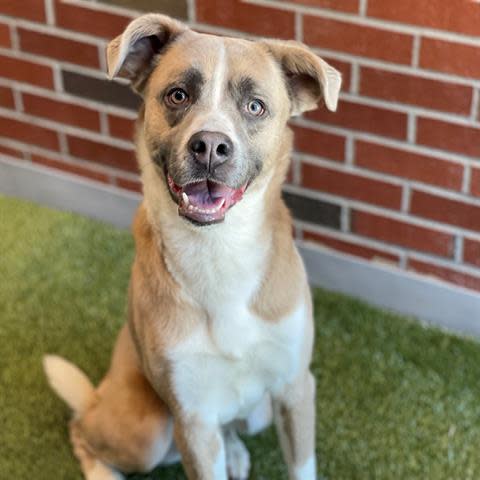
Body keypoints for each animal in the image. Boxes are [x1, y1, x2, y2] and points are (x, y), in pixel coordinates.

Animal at [43, 14, 340, 480]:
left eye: (255, 106)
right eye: (178, 95)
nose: (211, 147)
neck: (218, 249)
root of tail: (99, 394)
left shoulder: (296, 389)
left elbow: (301, 466)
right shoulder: (192, 418)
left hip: (259, 412)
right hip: (146, 429)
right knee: (81, 430)